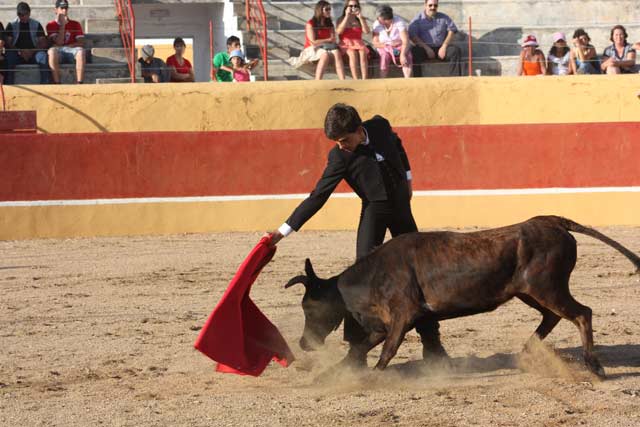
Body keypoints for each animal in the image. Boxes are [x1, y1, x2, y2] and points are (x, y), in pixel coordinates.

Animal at [286, 217, 640, 378]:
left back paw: (594, 366)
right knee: (553, 316)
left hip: (547, 288)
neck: (372, 276)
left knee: (581, 313)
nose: (303, 343)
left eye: (309, 307)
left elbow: (386, 350)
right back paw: (526, 352)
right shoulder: (382, 324)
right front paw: (332, 375)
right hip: (531, 292)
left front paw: (372, 377)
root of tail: (550, 221)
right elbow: (360, 347)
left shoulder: (403, 315)